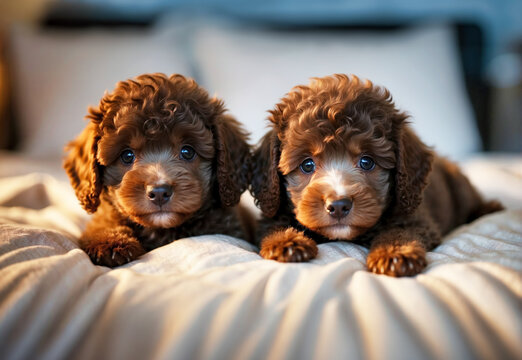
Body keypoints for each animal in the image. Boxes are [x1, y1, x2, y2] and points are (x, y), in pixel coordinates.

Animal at [250, 73, 502, 276]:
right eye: (307, 165)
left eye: (367, 162)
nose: (339, 205)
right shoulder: (273, 208)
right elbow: (273, 225)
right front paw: (287, 241)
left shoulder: (415, 217)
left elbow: (399, 232)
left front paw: (395, 254)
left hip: (458, 184)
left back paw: (488, 208)